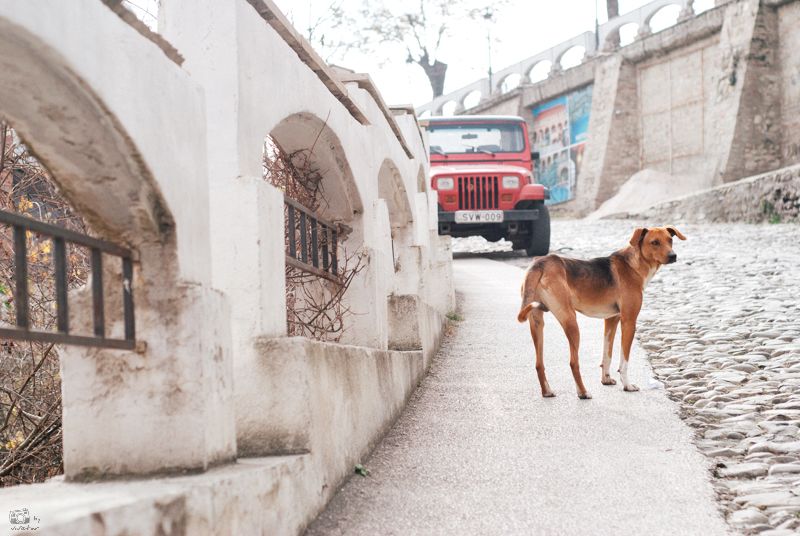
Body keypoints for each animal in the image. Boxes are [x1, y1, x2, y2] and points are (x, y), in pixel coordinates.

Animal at [520, 225, 688, 398]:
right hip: (571, 321)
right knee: (573, 362)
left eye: (670, 240)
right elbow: (624, 361)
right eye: (655, 242)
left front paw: (606, 379)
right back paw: (583, 392)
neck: (633, 265)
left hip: (537, 323)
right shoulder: (628, 321)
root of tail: (540, 264)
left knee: (539, 363)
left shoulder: (611, 320)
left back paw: (547, 391)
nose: (673, 256)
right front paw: (627, 385)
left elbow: (607, 354)